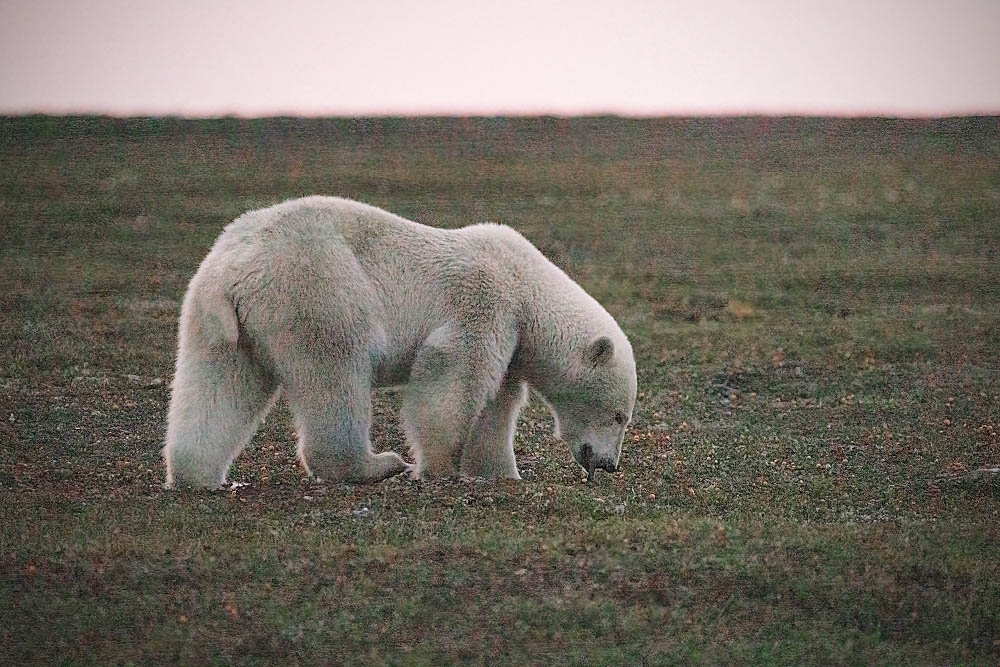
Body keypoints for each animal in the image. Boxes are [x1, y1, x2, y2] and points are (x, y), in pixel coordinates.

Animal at [161, 196, 636, 488]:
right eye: (619, 416)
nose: (608, 465)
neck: (527, 285)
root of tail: (234, 269)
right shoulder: (485, 304)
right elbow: (453, 378)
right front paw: (440, 467)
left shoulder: (511, 338)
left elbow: (496, 404)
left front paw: (500, 472)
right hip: (318, 289)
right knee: (336, 374)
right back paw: (376, 464)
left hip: (219, 320)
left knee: (219, 384)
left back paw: (197, 474)